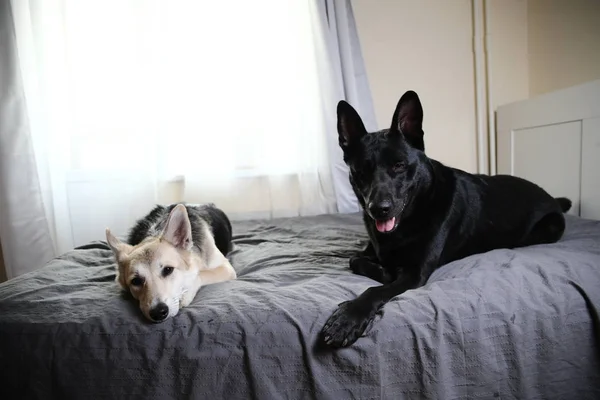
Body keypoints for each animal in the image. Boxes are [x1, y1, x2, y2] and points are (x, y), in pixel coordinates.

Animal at [104, 203, 236, 322]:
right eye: (136, 281)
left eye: (168, 270)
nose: (158, 312)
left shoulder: (227, 269)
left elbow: (200, 275)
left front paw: (186, 294)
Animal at [322, 90, 576, 346]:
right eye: (360, 172)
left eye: (399, 165)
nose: (378, 209)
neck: (415, 211)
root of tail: (551, 197)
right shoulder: (370, 252)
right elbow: (355, 260)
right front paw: (382, 272)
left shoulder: (415, 274)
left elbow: (376, 290)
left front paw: (348, 317)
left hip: (549, 227)